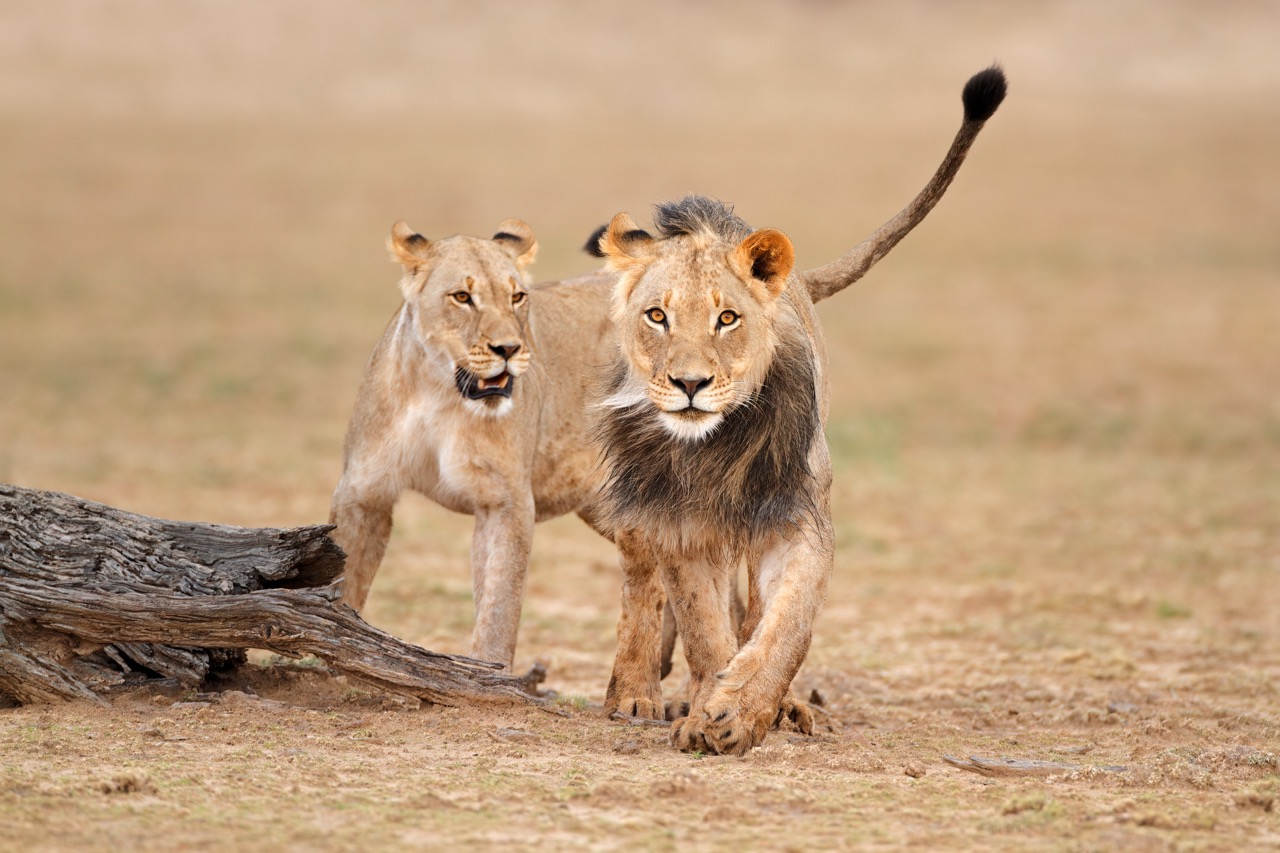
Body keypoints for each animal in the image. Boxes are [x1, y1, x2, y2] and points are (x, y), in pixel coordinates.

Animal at [593, 66, 1003, 753]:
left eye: (727, 318)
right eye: (657, 316)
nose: (689, 384)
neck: (718, 446)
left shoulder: (797, 516)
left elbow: (787, 624)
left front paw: (740, 712)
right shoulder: (683, 525)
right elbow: (703, 627)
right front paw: (705, 709)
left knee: (754, 612)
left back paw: (782, 707)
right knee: (644, 580)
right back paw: (636, 694)